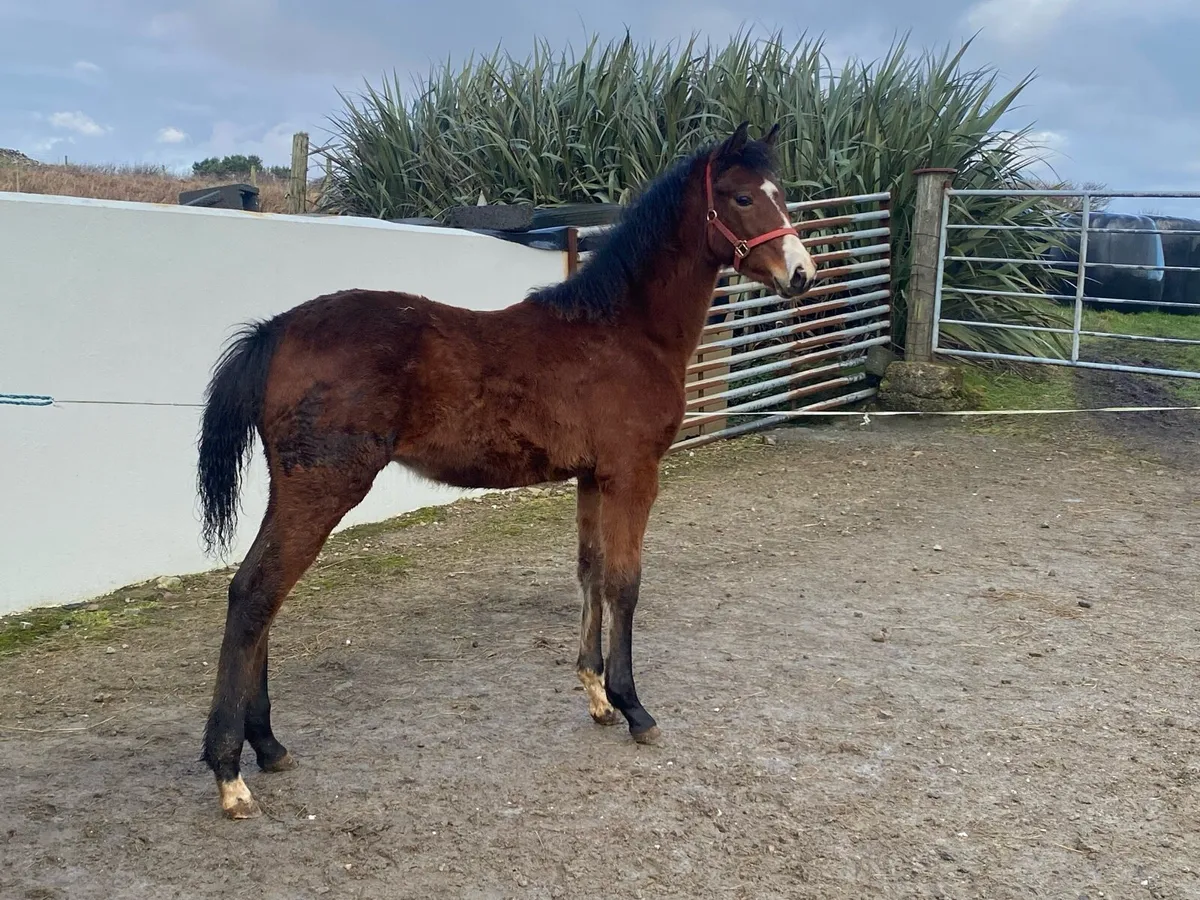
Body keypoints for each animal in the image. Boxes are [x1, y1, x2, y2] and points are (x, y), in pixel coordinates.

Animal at [195, 120, 818, 819]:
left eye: (779, 193)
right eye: (741, 197)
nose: (801, 272)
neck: (623, 331)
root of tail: (276, 329)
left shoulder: (592, 479)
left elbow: (590, 574)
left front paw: (597, 696)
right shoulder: (632, 475)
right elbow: (624, 583)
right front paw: (634, 707)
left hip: (296, 489)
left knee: (259, 595)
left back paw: (268, 746)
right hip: (323, 488)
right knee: (256, 594)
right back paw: (230, 773)